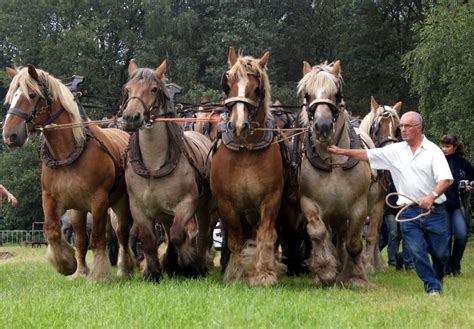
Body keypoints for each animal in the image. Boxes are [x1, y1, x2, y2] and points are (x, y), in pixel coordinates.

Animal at [2, 65, 134, 280]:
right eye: (12, 96)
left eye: (32, 95)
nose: (9, 135)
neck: (67, 154)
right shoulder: (50, 197)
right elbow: (52, 229)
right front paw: (66, 264)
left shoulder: (99, 200)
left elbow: (97, 238)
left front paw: (99, 275)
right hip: (77, 210)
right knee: (81, 238)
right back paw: (81, 271)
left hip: (120, 202)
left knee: (122, 234)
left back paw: (125, 269)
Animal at [121, 59, 214, 280]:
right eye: (127, 89)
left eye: (154, 89)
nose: (131, 117)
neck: (154, 166)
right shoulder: (138, 207)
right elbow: (148, 239)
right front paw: (153, 272)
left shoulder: (187, 202)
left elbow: (180, 233)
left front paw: (188, 263)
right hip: (163, 212)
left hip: (204, 206)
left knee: (203, 232)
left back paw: (200, 263)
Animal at [211, 47, 286, 286]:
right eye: (228, 84)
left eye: (256, 88)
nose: (238, 125)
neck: (246, 150)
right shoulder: (226, 203)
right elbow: (236, 239)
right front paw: (236, 274)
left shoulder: (271, 200)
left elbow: (266, 235)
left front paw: (264, 273)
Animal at [298, 59, 372, 288]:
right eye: (307, 95)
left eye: (336, 94)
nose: (322, 127)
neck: (334, 163)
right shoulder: (309, 203)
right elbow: (318, 232)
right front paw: (325, 270)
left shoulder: (359, 206)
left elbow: (354, 241)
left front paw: (355, 276)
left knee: (343, 235)